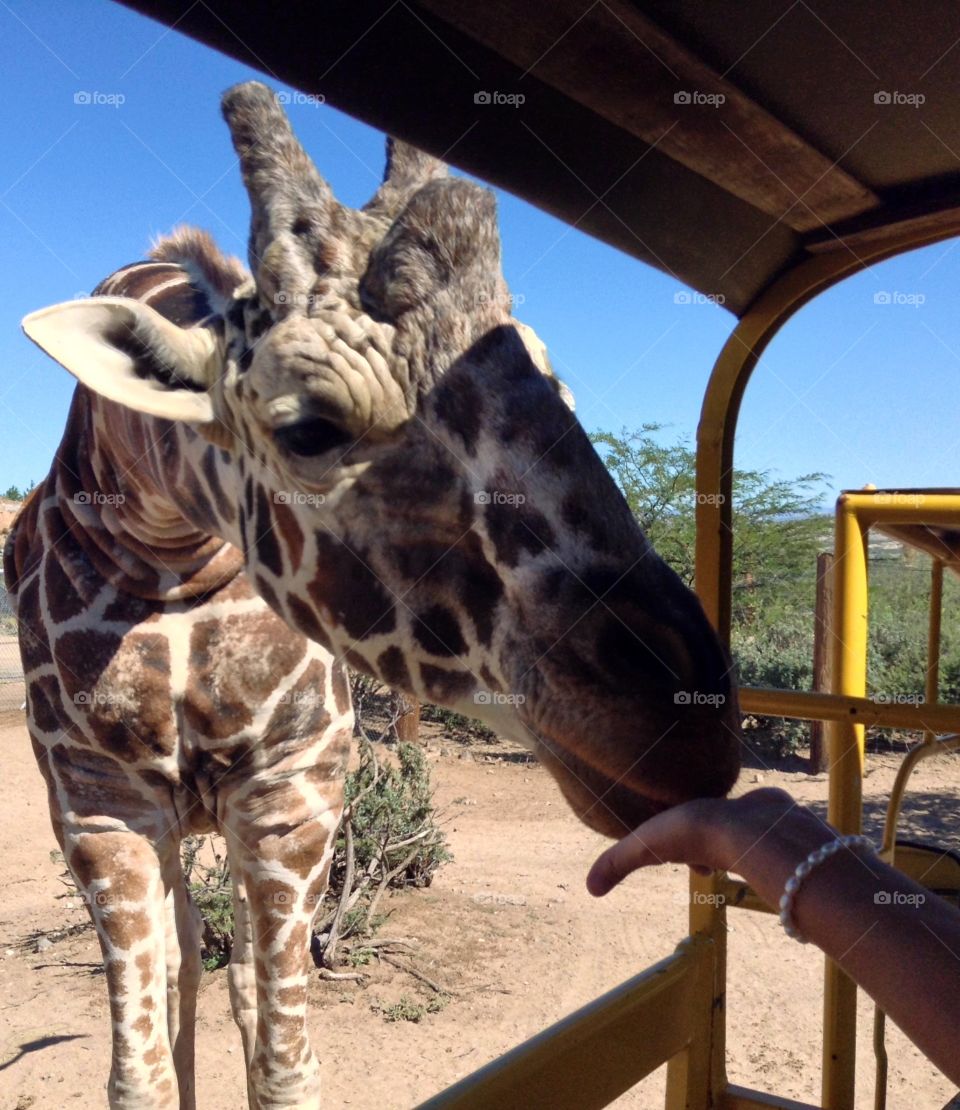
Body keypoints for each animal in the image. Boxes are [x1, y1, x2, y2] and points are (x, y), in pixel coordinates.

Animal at [4, 82, 741, 1108]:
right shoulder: (97, 802)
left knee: (229, 974)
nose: (685, 725)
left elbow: (284, 1065)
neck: (162, 548)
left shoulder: (295, 788)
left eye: (553, 382)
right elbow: (139, 1075)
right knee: (187, 962)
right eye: (309, 429)